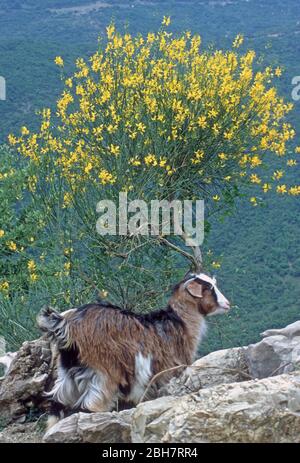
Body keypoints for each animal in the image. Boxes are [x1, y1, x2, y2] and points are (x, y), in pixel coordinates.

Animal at [37, 274, 230, 430]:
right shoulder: (169, 370)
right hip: (104, 374)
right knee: (91, 405)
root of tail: (67, 325)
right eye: (209, 288)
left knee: (57, 404)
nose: (227, 304)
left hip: (66, 373)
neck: (179, 322)